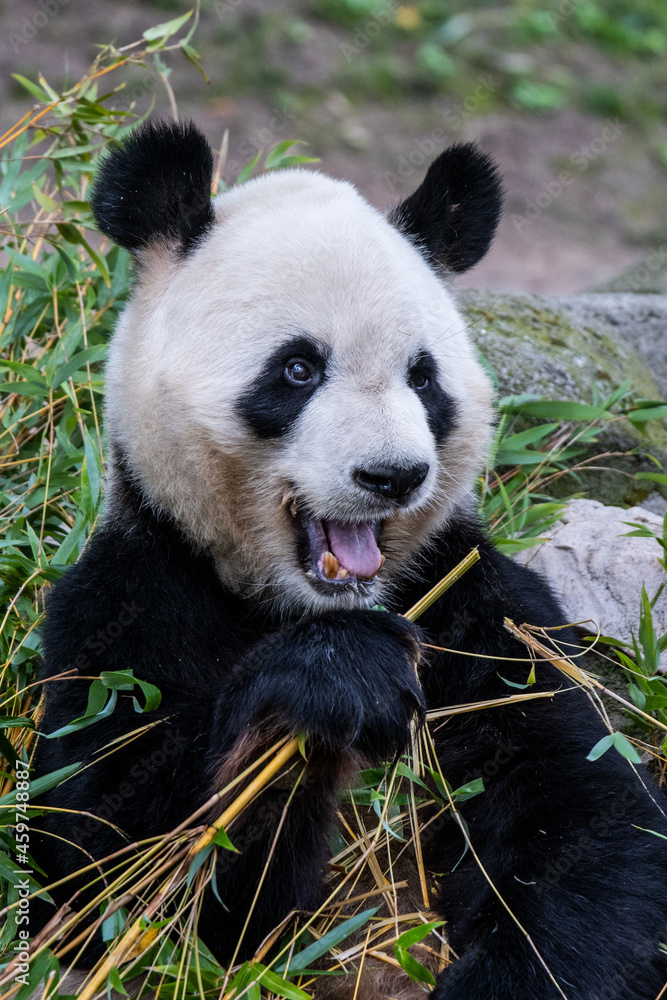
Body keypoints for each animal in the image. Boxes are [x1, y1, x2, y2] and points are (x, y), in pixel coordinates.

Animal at [35, 120, 667, 999]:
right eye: (298, 368)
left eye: (422, 377)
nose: (391, 475)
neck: (297, 601)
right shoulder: (134, 591)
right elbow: (113, 872)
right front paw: (335, 683)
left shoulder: (472, 603)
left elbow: (590, 815)